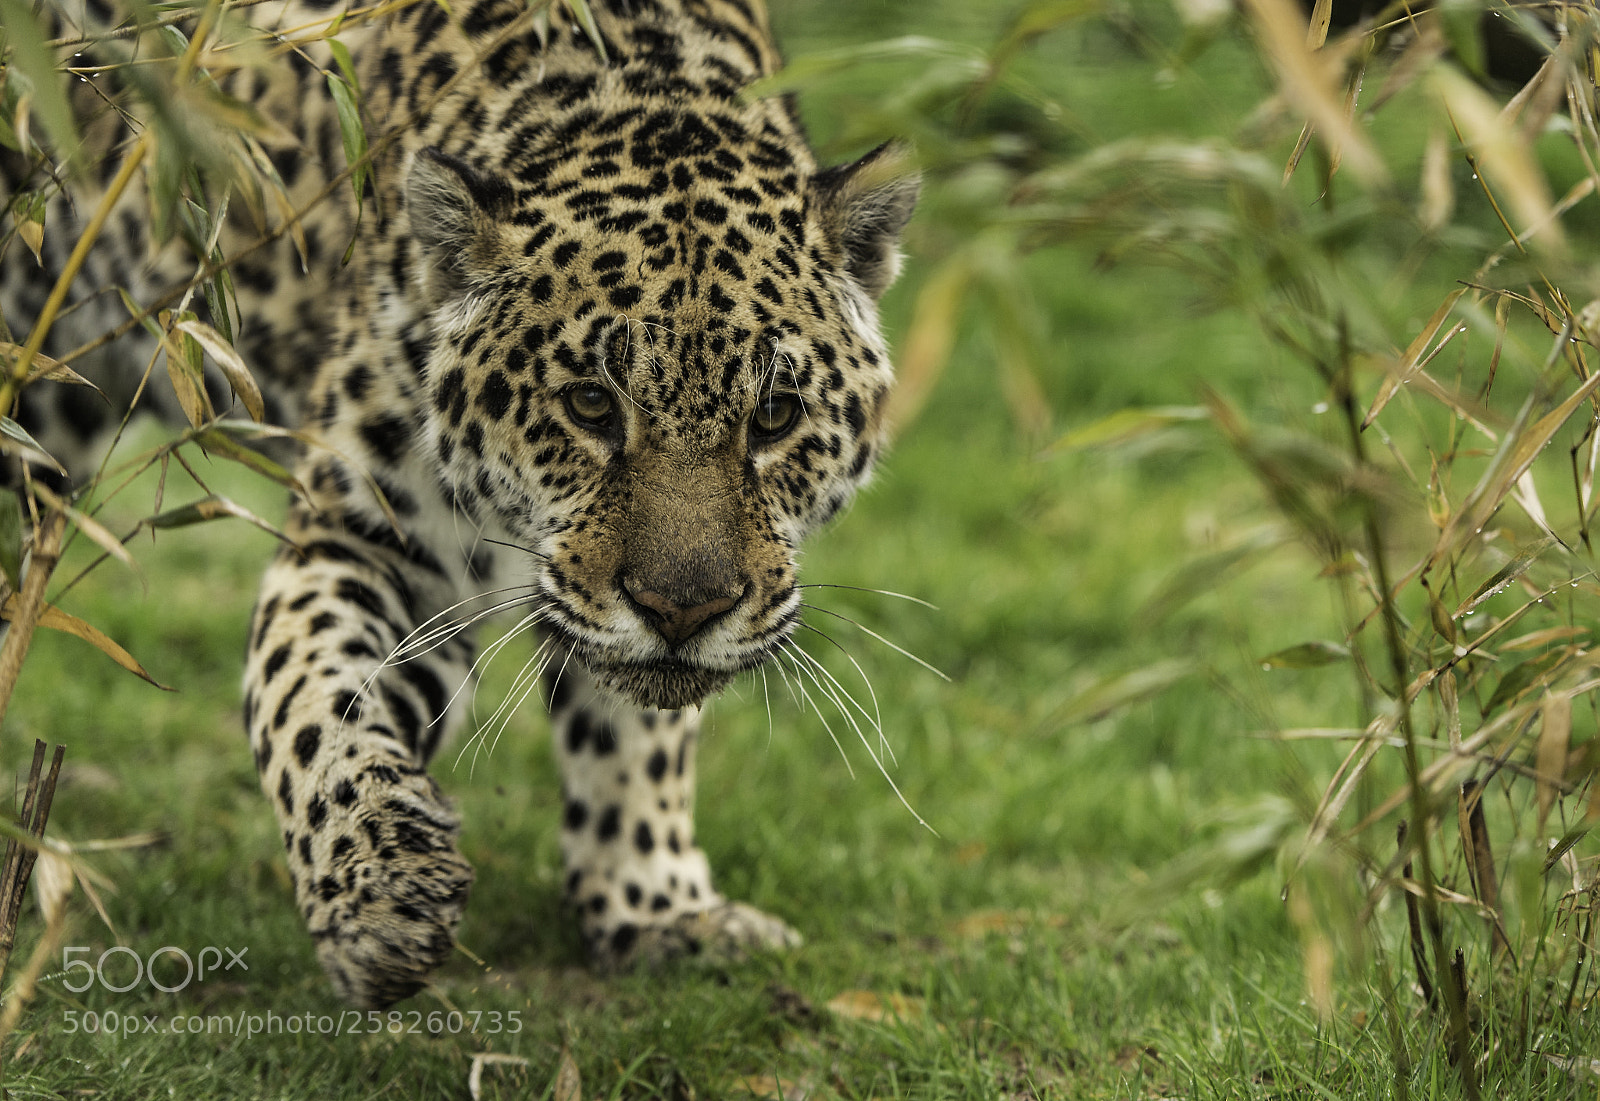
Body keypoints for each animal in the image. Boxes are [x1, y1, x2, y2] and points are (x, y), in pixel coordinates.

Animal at [0, 0, 917, 1007]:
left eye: (776, 415)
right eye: (590, 404)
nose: (683, 611)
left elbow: (639, 726)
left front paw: (654, 905)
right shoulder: (371, 536)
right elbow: (314, 701)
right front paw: (377, 890)